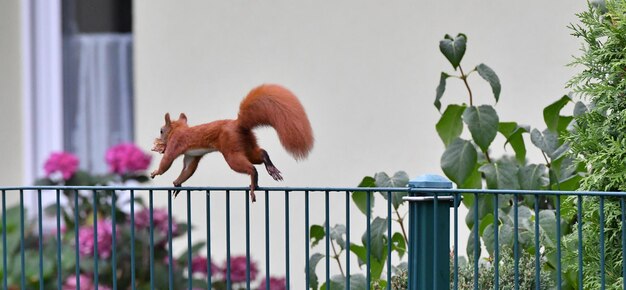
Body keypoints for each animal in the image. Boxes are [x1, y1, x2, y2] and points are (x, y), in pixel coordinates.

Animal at [149, 84, 314, 202]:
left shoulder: (175, 144)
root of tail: (239, 124)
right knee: (261, 153)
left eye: (161, 131)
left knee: (251, 168)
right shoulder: (191, 155)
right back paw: (271, 169)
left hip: (231, 152)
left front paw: (156, 172)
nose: (159, 140)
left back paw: (253, 182)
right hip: (247, 145)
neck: (178, 129)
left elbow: (167, 162)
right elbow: (187, 170)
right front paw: (177, 183)